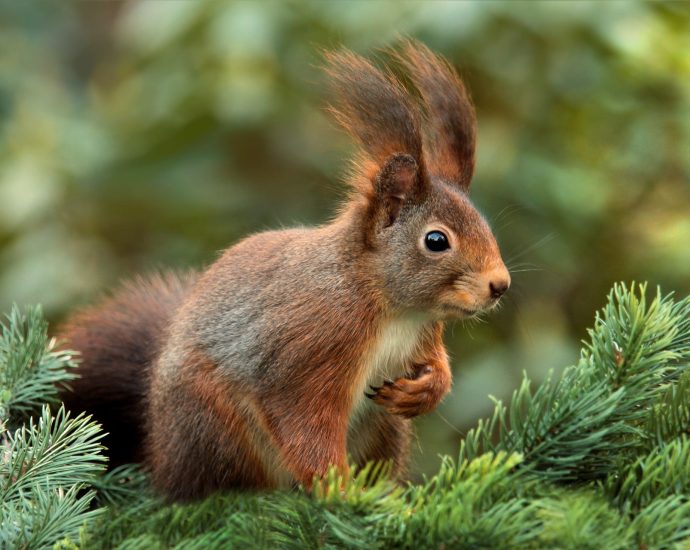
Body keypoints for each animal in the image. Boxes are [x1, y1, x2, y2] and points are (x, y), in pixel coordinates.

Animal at [58, 41, 510, 501]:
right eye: (436, 241)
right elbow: (304, 424)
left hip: (383, 428)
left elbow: (437, 365)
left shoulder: (423, 334)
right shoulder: (311, 347)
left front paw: (426, 389)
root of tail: (160, 454)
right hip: (215, 423)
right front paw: (341, 493)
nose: (500, 285)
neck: (391, 307)